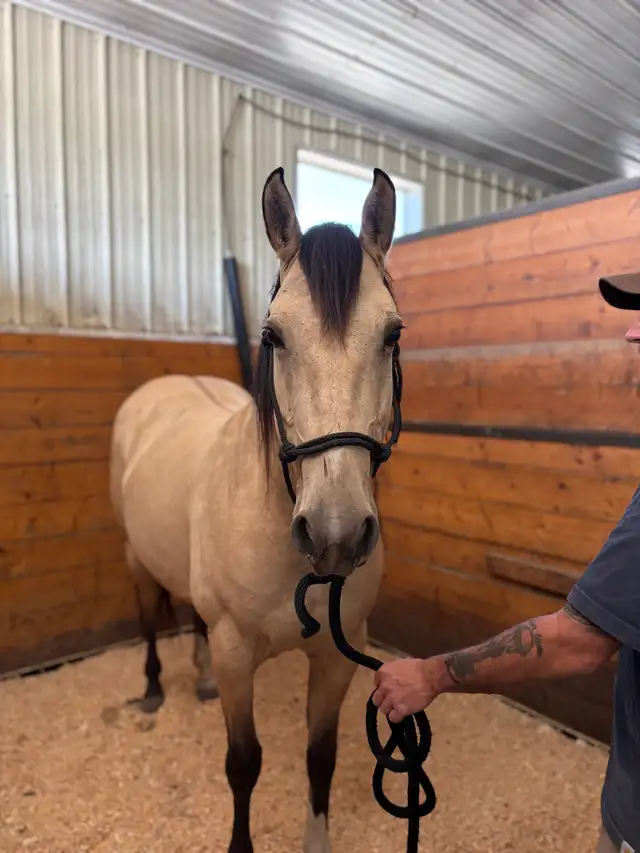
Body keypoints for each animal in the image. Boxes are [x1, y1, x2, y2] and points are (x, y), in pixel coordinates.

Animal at [109, 165, 404, 853]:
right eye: (273, 335)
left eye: (392, 334)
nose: (334, 532)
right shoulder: (236, 652)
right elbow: (243, 763)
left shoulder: (337, 658)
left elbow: (319, 757)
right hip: (136, 559)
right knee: (148, 618)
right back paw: (155, 689)